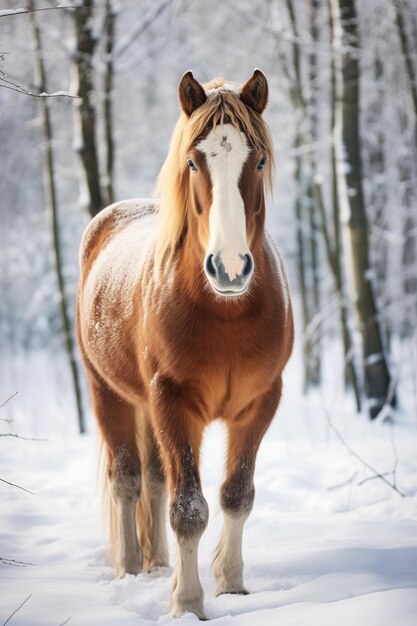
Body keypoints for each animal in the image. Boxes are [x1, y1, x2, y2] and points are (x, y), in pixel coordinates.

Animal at [77, 69, 292, 620]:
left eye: (259, 159)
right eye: (194, 161)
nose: (230, 269)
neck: (225, 314)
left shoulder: (260, 404)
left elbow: (237, 495)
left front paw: (231, 584)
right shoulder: (173, 402)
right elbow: (188, 508)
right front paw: (188, 603)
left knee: (153, 480)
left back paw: (156, 564)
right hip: (108, 394)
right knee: (128, 480)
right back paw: (131, 570)